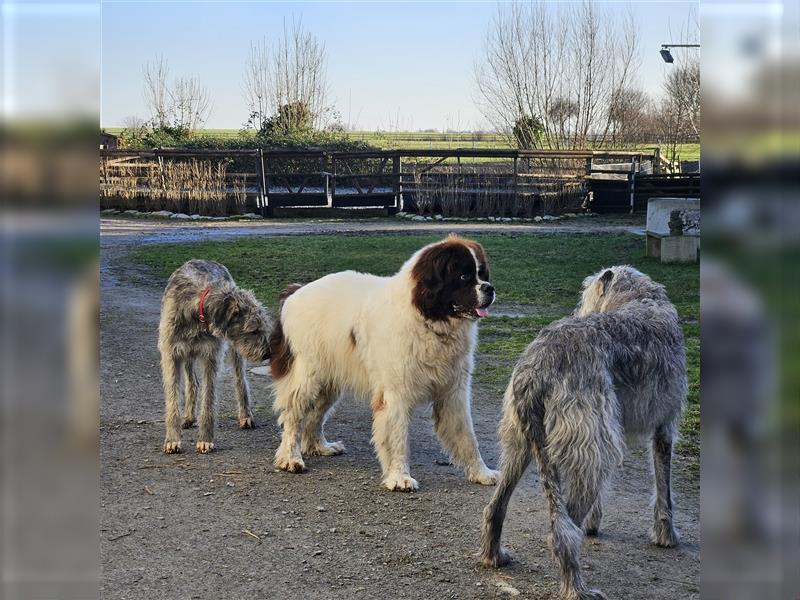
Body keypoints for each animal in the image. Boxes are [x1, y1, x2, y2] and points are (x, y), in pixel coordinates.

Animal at [158, 260, 274, 452]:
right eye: (253, 330)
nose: (267, 354)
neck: (197, 309)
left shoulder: (211, 356)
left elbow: (208, 399)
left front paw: (205, 438)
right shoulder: (171, 354)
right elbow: (172, 399)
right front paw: (172, 439)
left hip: (234, 350)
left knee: (240, 381)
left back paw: (245, 415)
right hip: (187, 354)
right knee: (192, 382)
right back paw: (188, 416)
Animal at [272, 234, 504, 492]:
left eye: (482, 274)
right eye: (464, 276)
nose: (490, 288)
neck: (427, 320)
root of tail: (296, 292)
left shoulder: (454, 391)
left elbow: (467, 437)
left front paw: (481, 472)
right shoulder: (396, 394)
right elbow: (398, 438)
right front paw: (399, 477)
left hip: (329, 380)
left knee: (315, 415)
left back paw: (319, 446)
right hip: (308, 376)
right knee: (294, 416)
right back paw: (290, 458)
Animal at [478, 266, 684, 600]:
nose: (577, 311)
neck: (638, 298)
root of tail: (537, 370)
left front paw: (594, 524)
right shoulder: (663, 426)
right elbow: (663, 487)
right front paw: (667, 534)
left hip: (522, 441)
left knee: (496, 506)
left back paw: (493, 555)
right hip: (583, 439)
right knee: (562, 531)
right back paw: (576, 586)